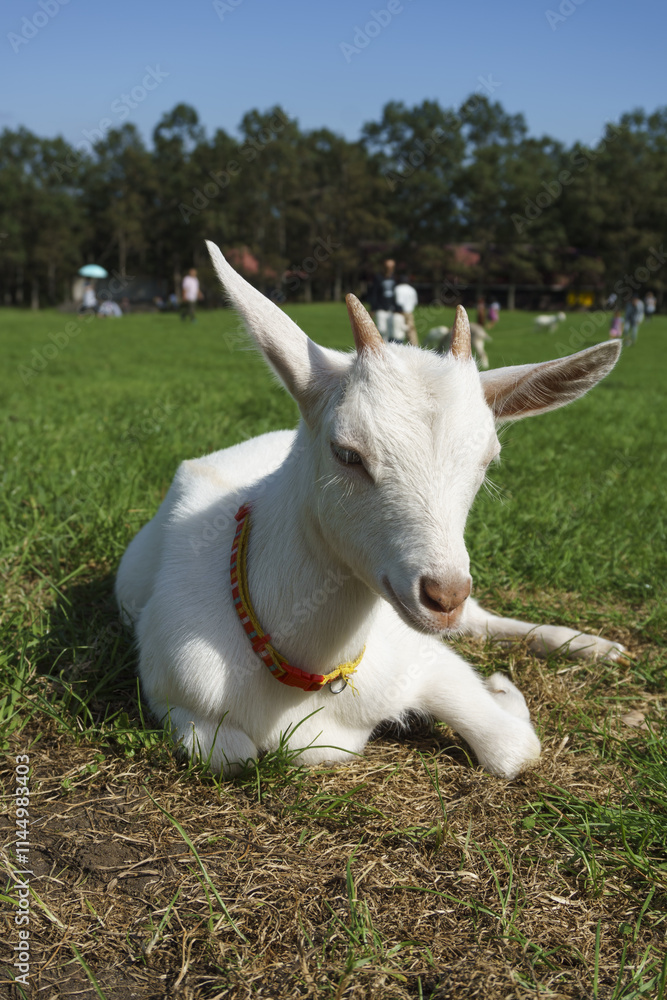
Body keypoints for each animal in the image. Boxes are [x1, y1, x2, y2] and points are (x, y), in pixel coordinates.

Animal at [115, 242, 624, 781]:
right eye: (347, 452)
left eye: (488, 460)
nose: (444, 596)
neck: (311, 679)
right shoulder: (172, 690)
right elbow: (229, 754)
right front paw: (504, 686)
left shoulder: (422, 657)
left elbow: (513, 747)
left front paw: (504, 690)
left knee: (484, 622)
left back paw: (595, 646)